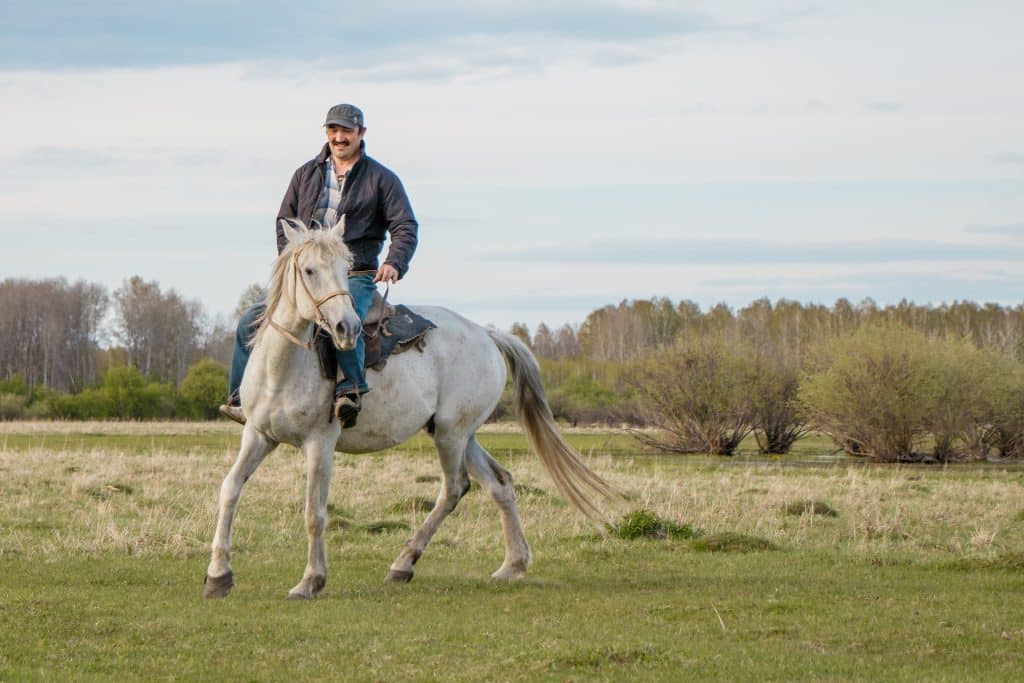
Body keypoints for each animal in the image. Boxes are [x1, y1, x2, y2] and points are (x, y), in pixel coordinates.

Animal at [204, 218, 615, 599]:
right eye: (309, 270)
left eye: (346, 267)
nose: (346, 327)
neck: (285, 366)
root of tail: (485, 334)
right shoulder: (258, 435)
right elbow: (229, 489)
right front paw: (218, 575)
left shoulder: (319, 444)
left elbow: (314, 513)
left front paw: (310, 580)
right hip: (463, 435)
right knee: (499, 483)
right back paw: (512, 564)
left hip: (451, 435)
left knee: (454, 489)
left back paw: (404, 563)